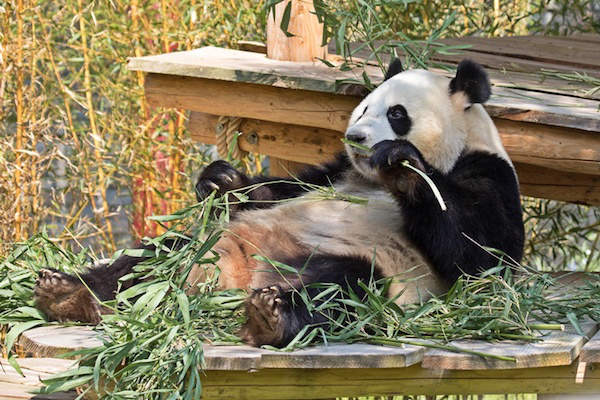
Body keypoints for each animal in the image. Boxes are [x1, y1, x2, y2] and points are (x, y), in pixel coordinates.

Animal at [32, 58, 524, 346]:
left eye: (397, 114)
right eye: (364, 108)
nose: (355, 137)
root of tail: (239, 279)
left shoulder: (488, 174)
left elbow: (480, 255)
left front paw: (402, 163)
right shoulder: (332, 172)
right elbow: (276, 189)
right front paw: (220, 180)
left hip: (371, 270)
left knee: (346, 285)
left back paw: (271, 316)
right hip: (211, 246)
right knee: (157, 257)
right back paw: (68, 293)